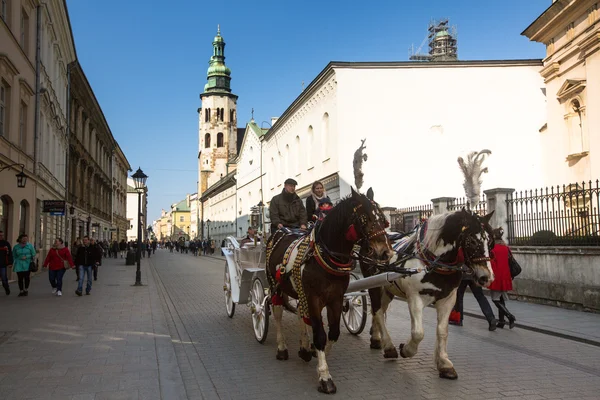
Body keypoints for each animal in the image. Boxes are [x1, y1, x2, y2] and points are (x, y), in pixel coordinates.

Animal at [266, 188, 390, 394]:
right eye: (364, 218)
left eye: (383, 218)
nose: (385, 252)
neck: (325, 256)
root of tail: (283, 230)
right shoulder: (314, 299)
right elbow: (320, 335)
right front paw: (325, 377)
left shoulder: (336, 299)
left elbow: (332, 333)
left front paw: (316, 356)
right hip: (275, 286)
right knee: (277, 313)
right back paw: (282, 348)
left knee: (300, 314)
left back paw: (304, 348)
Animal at [358, 209, 494, 382]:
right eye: (471, 241)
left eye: (491, 242)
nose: (486, 277)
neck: (434, 262)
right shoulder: (414, 297)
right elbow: (418, 333)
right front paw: (406, 350)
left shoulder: (448, 299)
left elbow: (442, 331)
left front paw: (444, 364)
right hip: (373, 284)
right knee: (377, 311)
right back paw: (388, 347)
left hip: (388, 288)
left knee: (380, 310)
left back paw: (376, 338)